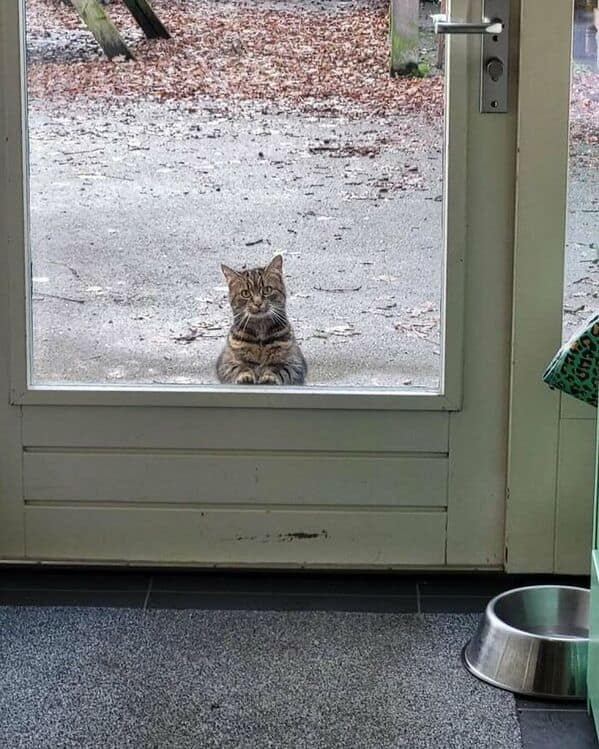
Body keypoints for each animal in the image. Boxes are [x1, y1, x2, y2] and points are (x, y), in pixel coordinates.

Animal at [216, 255, 307, 385]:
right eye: (245, 293)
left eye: (267, 290)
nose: (258, 302)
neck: (260, 330)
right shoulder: (225, 363)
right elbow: (240, 368)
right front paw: (245, 376)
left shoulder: (295, 364)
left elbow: (279, 369)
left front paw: (269, 377)